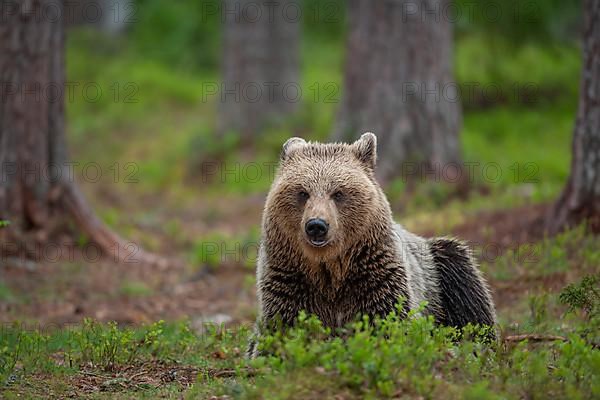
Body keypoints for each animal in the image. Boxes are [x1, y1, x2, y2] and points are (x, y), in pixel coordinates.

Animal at [248, 133, 496, 354]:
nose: (317, 225)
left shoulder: (375, 276)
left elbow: (391, 320)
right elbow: (280, 331)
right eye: (302, 192)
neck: (329, 269)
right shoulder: (289, 281)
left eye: (338, 193)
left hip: (438, 270)